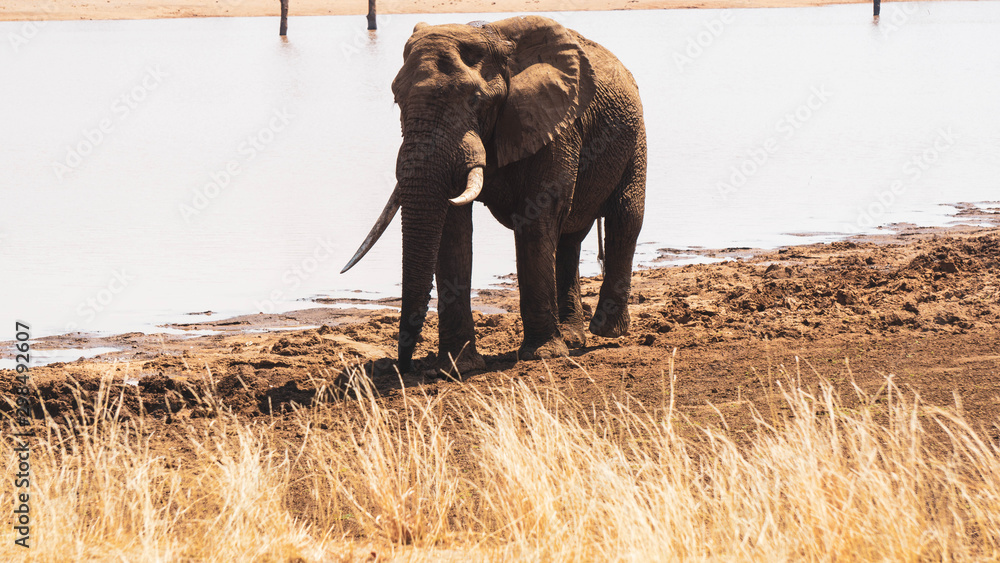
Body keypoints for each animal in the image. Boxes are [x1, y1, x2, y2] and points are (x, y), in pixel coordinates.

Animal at [342, 15, 646, 374]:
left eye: (474, 99)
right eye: (396, 100)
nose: (404, 367)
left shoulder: (554, 123)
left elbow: (536, 217)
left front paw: (541, 356)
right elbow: (453, 230)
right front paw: (456, 367)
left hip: (635, 134)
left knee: (625, 217)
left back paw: (606, 332)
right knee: (570, 238)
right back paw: (573, 337)